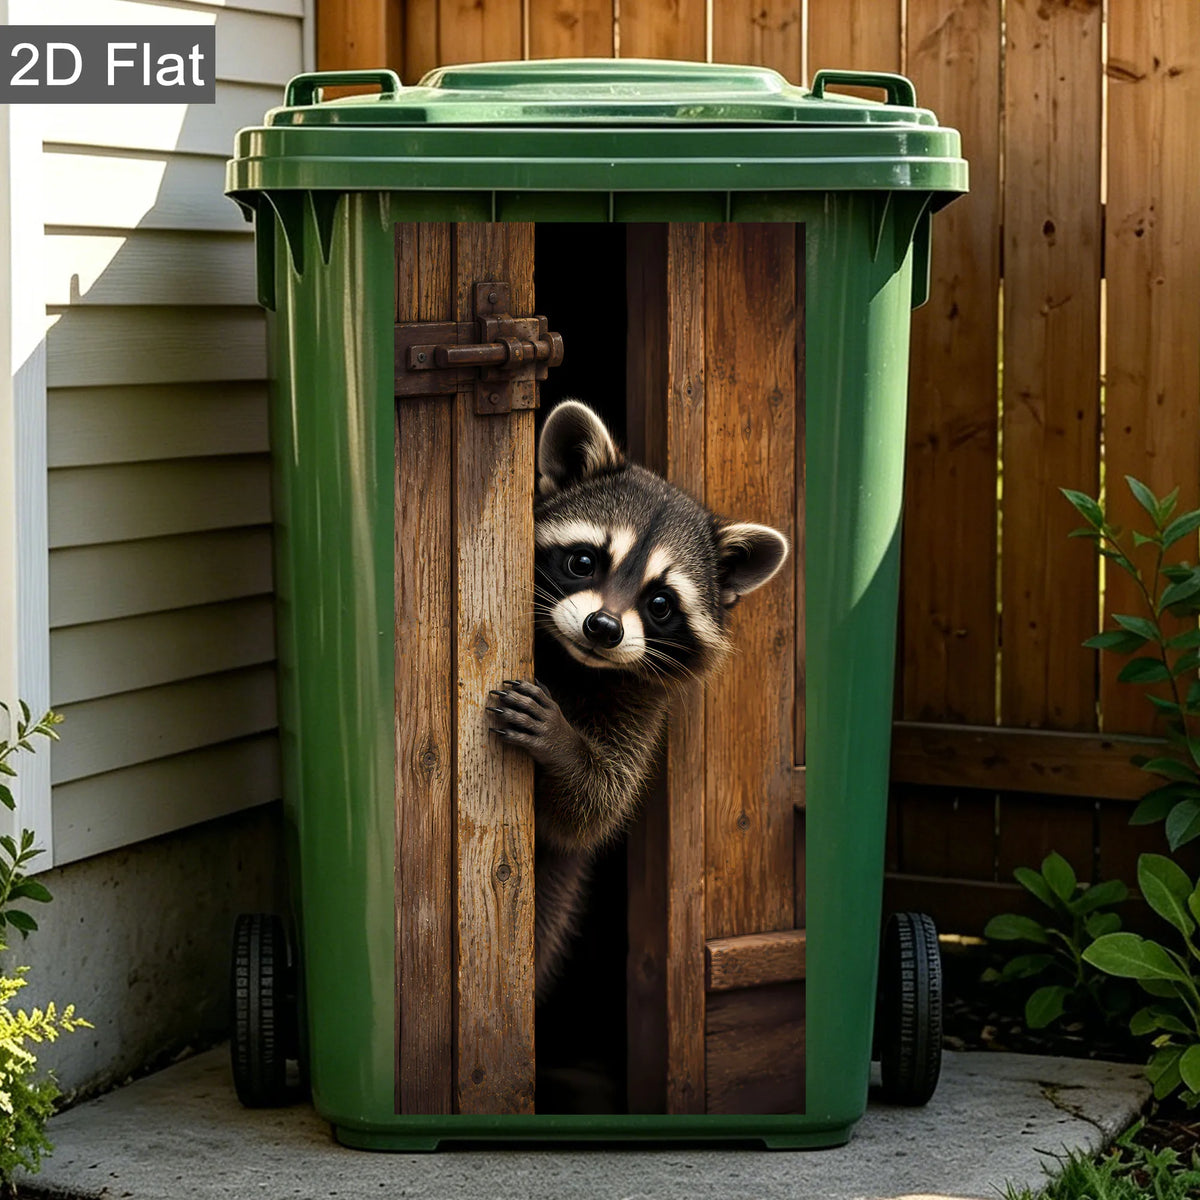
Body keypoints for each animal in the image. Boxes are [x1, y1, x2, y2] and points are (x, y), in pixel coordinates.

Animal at [487, 401, 789, 999]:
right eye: (583, 562)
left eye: (660, 603)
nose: (603, 627)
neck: (575, 664)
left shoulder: (642, 706)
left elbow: (592, 807)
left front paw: (562, 745)